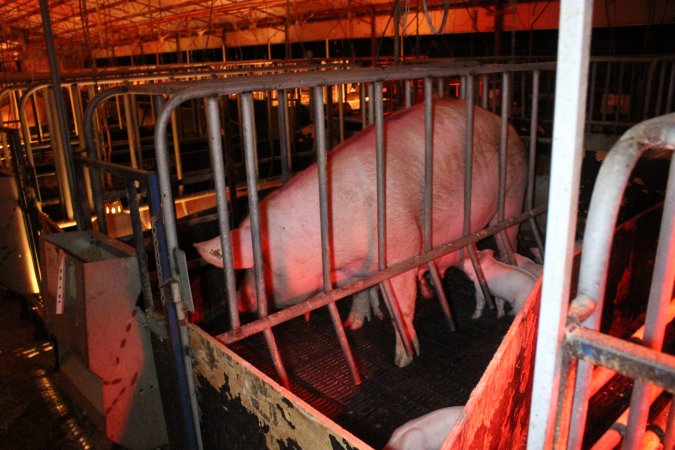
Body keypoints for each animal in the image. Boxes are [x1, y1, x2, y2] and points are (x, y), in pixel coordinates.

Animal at [195, 98, 528, 366]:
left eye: (257, 265)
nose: (239, 302)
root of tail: (503, 122)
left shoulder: (403, 248)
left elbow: (401, 304)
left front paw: (404, 358)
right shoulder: (358, 271)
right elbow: (361, 293)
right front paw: (352, 324)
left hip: (512, 193)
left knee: (508, 238)